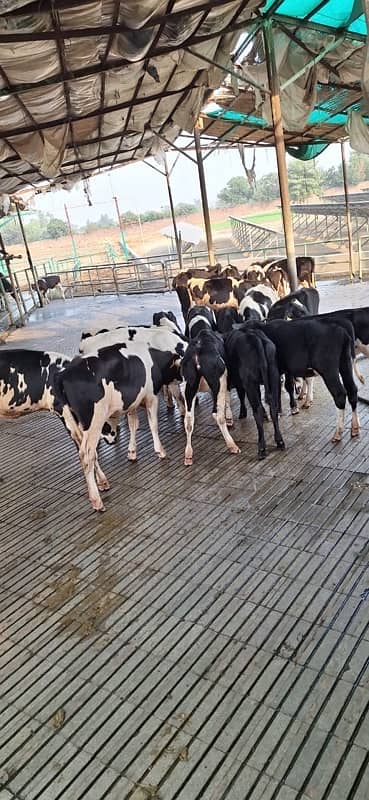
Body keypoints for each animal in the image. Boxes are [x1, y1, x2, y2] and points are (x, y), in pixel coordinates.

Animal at [224, 328, 284, 460]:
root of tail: (255, 338)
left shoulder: (242, 382)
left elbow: (241, 395)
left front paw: (242, 412)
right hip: (274, 376)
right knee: (273, 407)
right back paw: (280, 441)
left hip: (250, 383)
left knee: (257, 411)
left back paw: (261, 448)